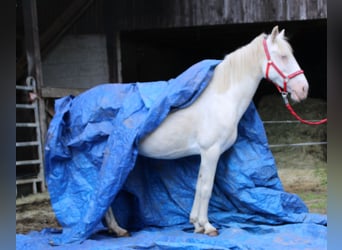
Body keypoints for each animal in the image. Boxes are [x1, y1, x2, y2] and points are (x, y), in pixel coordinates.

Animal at [103, 26, 308, 237]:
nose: (303, 89)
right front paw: (208, 226)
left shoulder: (204, 154)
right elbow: (206, 188)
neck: (221, 99)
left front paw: (196, 224)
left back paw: (113, 228)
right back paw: (118, 229)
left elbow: (198, 186)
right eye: (283, 56)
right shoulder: (211, 151)